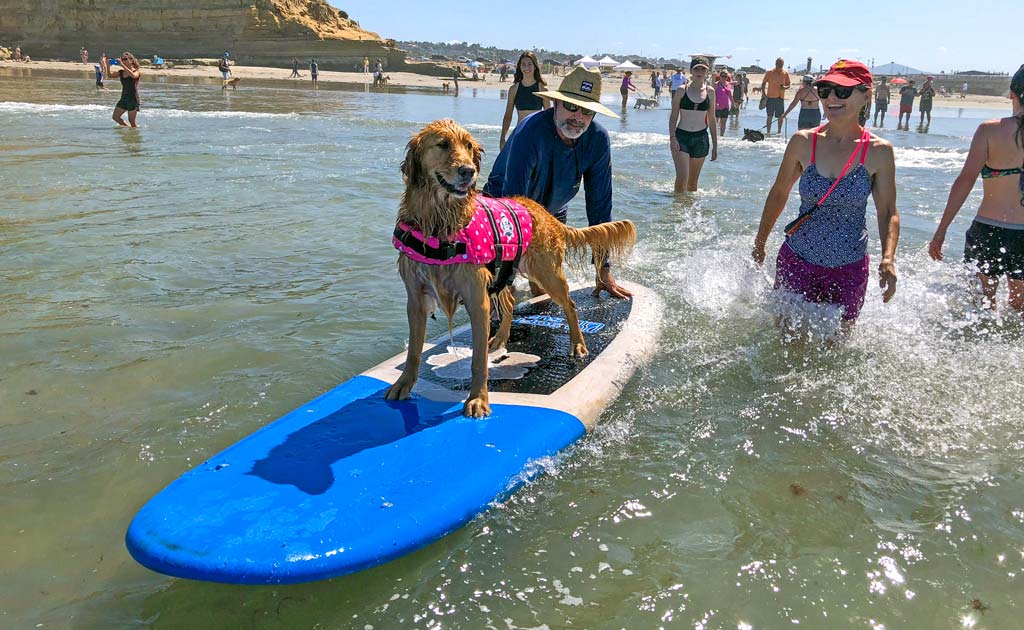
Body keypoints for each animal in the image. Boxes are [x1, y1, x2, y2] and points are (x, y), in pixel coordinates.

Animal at [387, 120, 634, 415]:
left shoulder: (476, 298)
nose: (468, 171)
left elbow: (478, 360)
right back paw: (501, 339)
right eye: (443, 144)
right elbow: (414, 351)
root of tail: (542, 211)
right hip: (504, 270)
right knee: (510, 302)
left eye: (468, 146)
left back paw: (577, 344)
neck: (440, 223)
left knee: (570, 305)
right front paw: (403, 384)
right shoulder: (416, 299)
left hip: (547, 273)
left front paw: (478, 399)